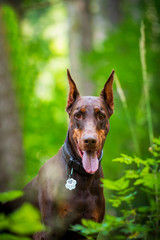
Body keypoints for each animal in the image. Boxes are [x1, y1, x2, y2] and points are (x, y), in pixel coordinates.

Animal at [23, 68, 114, 239]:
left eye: (101, 115)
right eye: (78, 115)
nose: (90, 140)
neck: (83, 179)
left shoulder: (91, 229)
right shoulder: (50, 230)